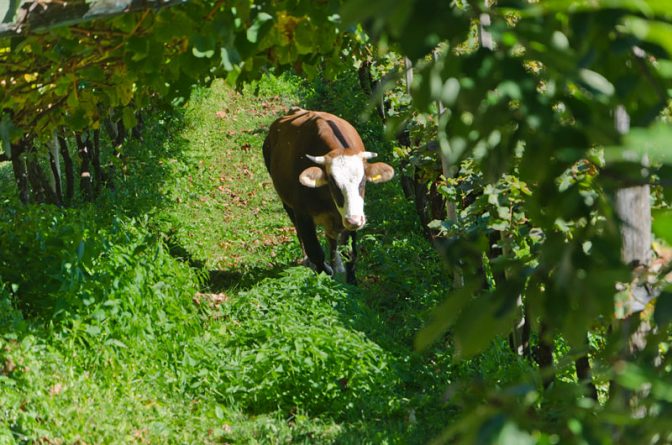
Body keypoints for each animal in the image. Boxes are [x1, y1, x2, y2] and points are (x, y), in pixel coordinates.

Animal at [264, 106, 394, 284]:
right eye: (332, 182)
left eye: (363, 182)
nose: (354, 220)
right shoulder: (302, 214)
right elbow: (316, 252)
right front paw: (325, 276)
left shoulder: (348, 216)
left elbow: (350, 253)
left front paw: (351, 282)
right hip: (287, 204)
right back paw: (309, 261)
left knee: (332, 237)